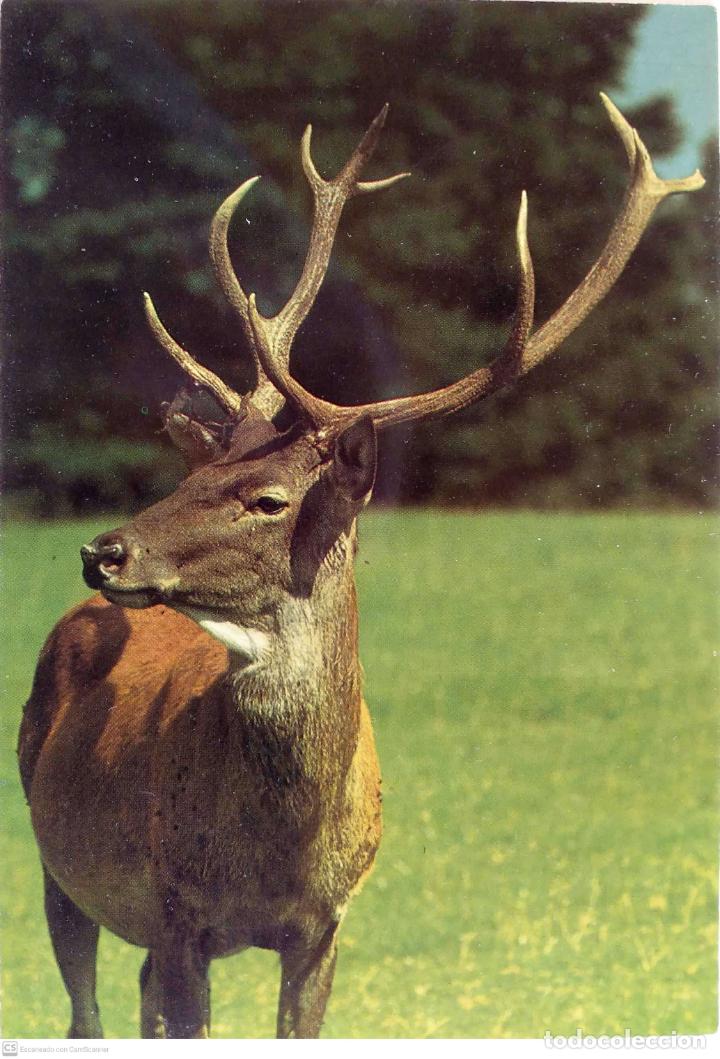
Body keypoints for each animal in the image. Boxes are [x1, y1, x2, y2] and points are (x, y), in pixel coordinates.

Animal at [18, 97, 703, 1039]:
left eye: (267, 498)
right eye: (188, 480)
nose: (102, 550)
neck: (277, 851)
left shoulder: (324, 925)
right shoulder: (179, 906)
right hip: (55, 858)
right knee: (85, 1012)